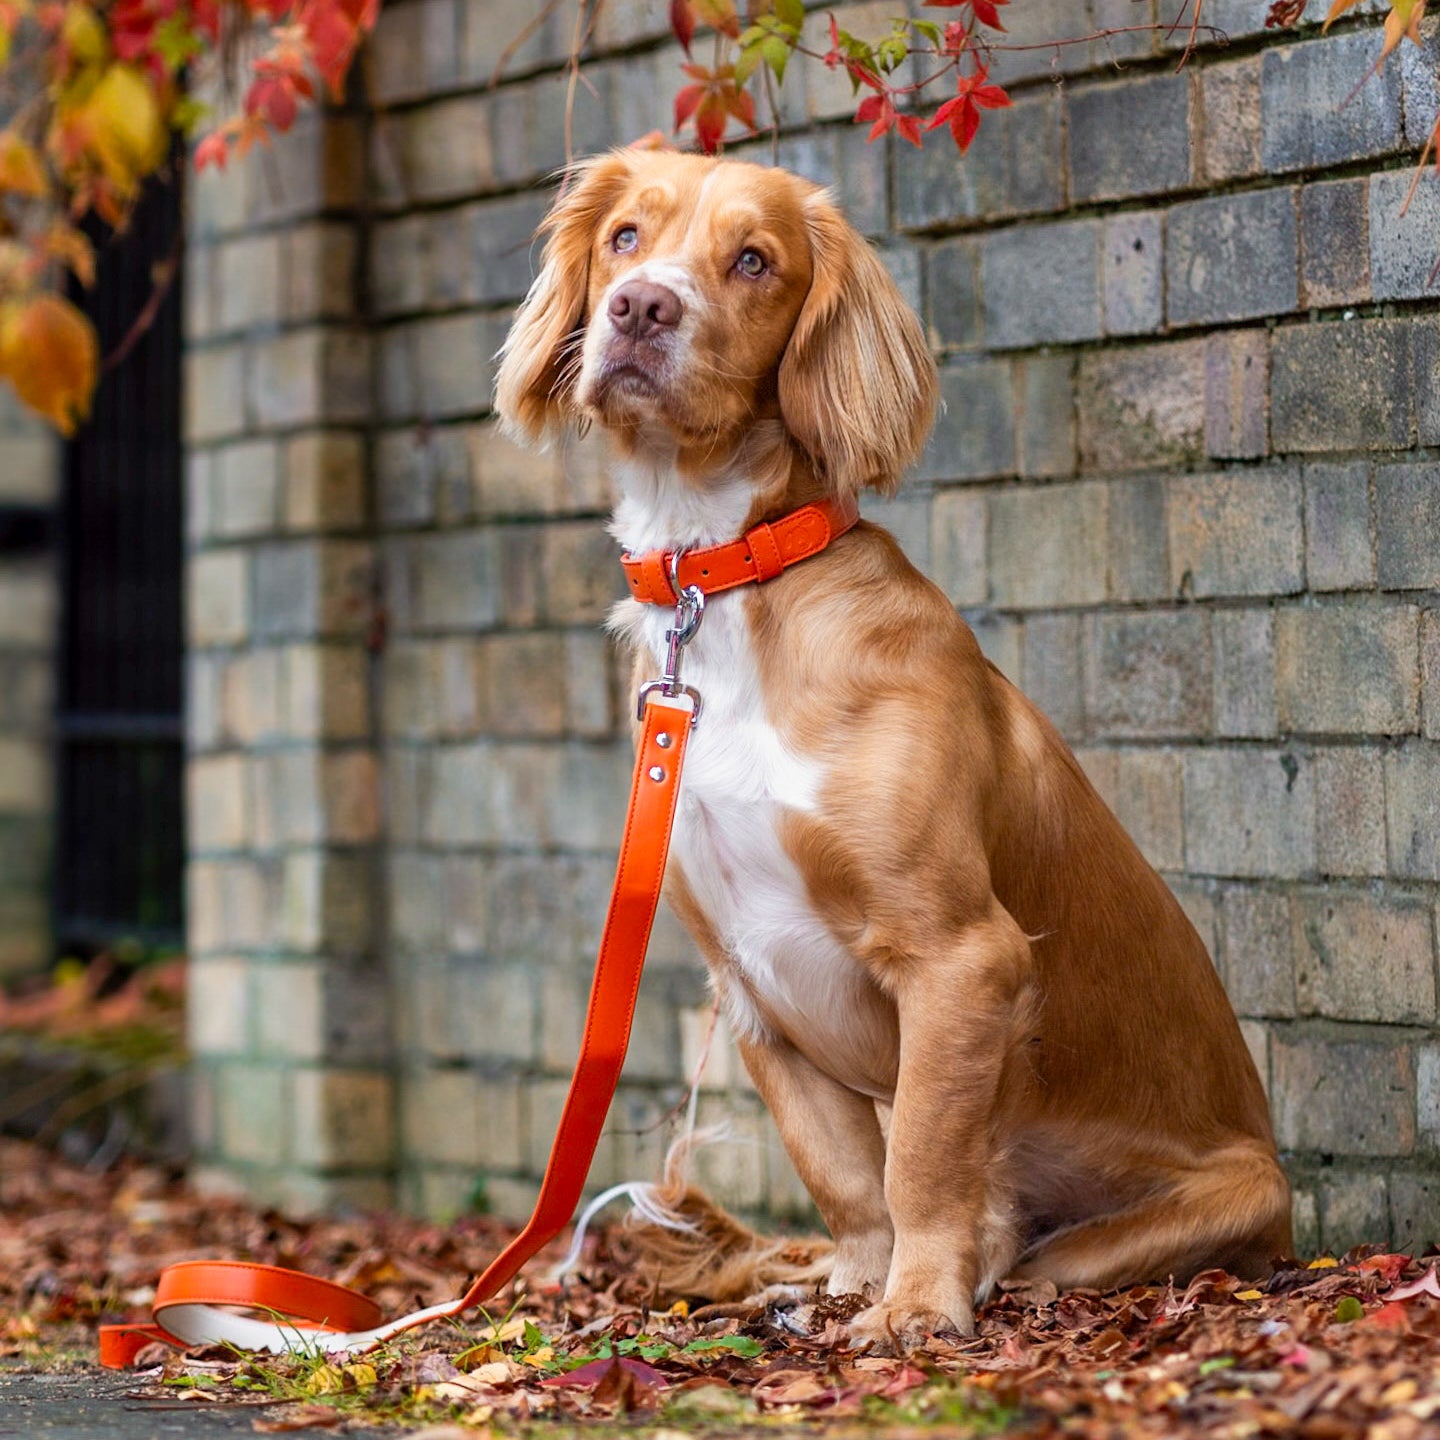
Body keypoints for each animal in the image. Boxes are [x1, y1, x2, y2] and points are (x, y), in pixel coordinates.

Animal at [495, 151, 1296, 1353]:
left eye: (753, 260)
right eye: (626, 238)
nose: (640, 309)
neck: (733, 584)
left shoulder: (960, 956)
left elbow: (919, 1153)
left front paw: (915, 1305)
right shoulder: (752, 989)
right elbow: (843, 1173)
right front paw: (858, 1285)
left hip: (1223, 1202)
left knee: (1036, 1244)